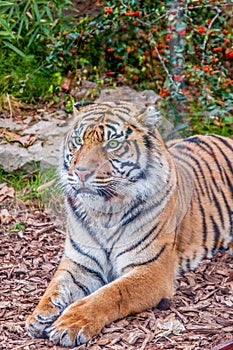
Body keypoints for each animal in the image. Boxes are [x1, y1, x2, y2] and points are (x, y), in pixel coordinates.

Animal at [26, 100, 233, 346]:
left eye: (113, 144)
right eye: (78, 141)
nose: (81, 172)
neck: (103, 212)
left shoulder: (152, 269)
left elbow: (110, 294)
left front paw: (70, 323)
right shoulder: (79, 262)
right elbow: (56, 286)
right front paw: (39, 316)